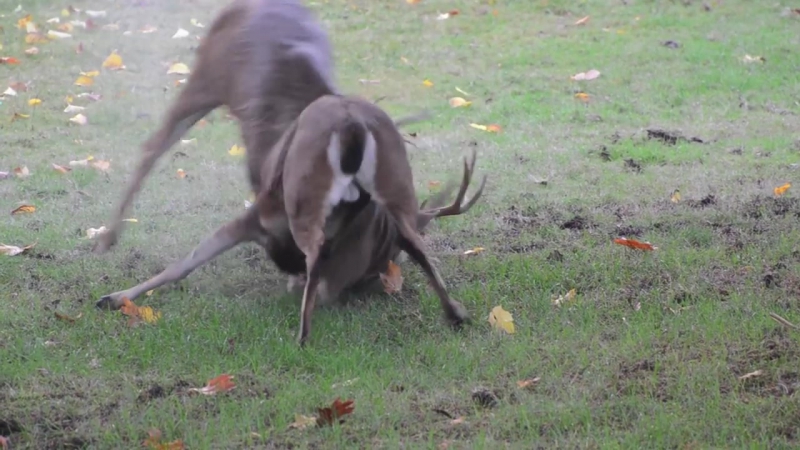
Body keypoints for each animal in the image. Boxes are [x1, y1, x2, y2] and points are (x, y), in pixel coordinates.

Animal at [98, 94, 488, 344]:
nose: (380, 272)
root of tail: (351, 123)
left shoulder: (260, 216)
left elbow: (186, 262)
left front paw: (113, 296)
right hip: (396, 182)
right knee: (415, 242)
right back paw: (456, 313)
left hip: (305, 193)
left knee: (317, 252)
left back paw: (302, 334)